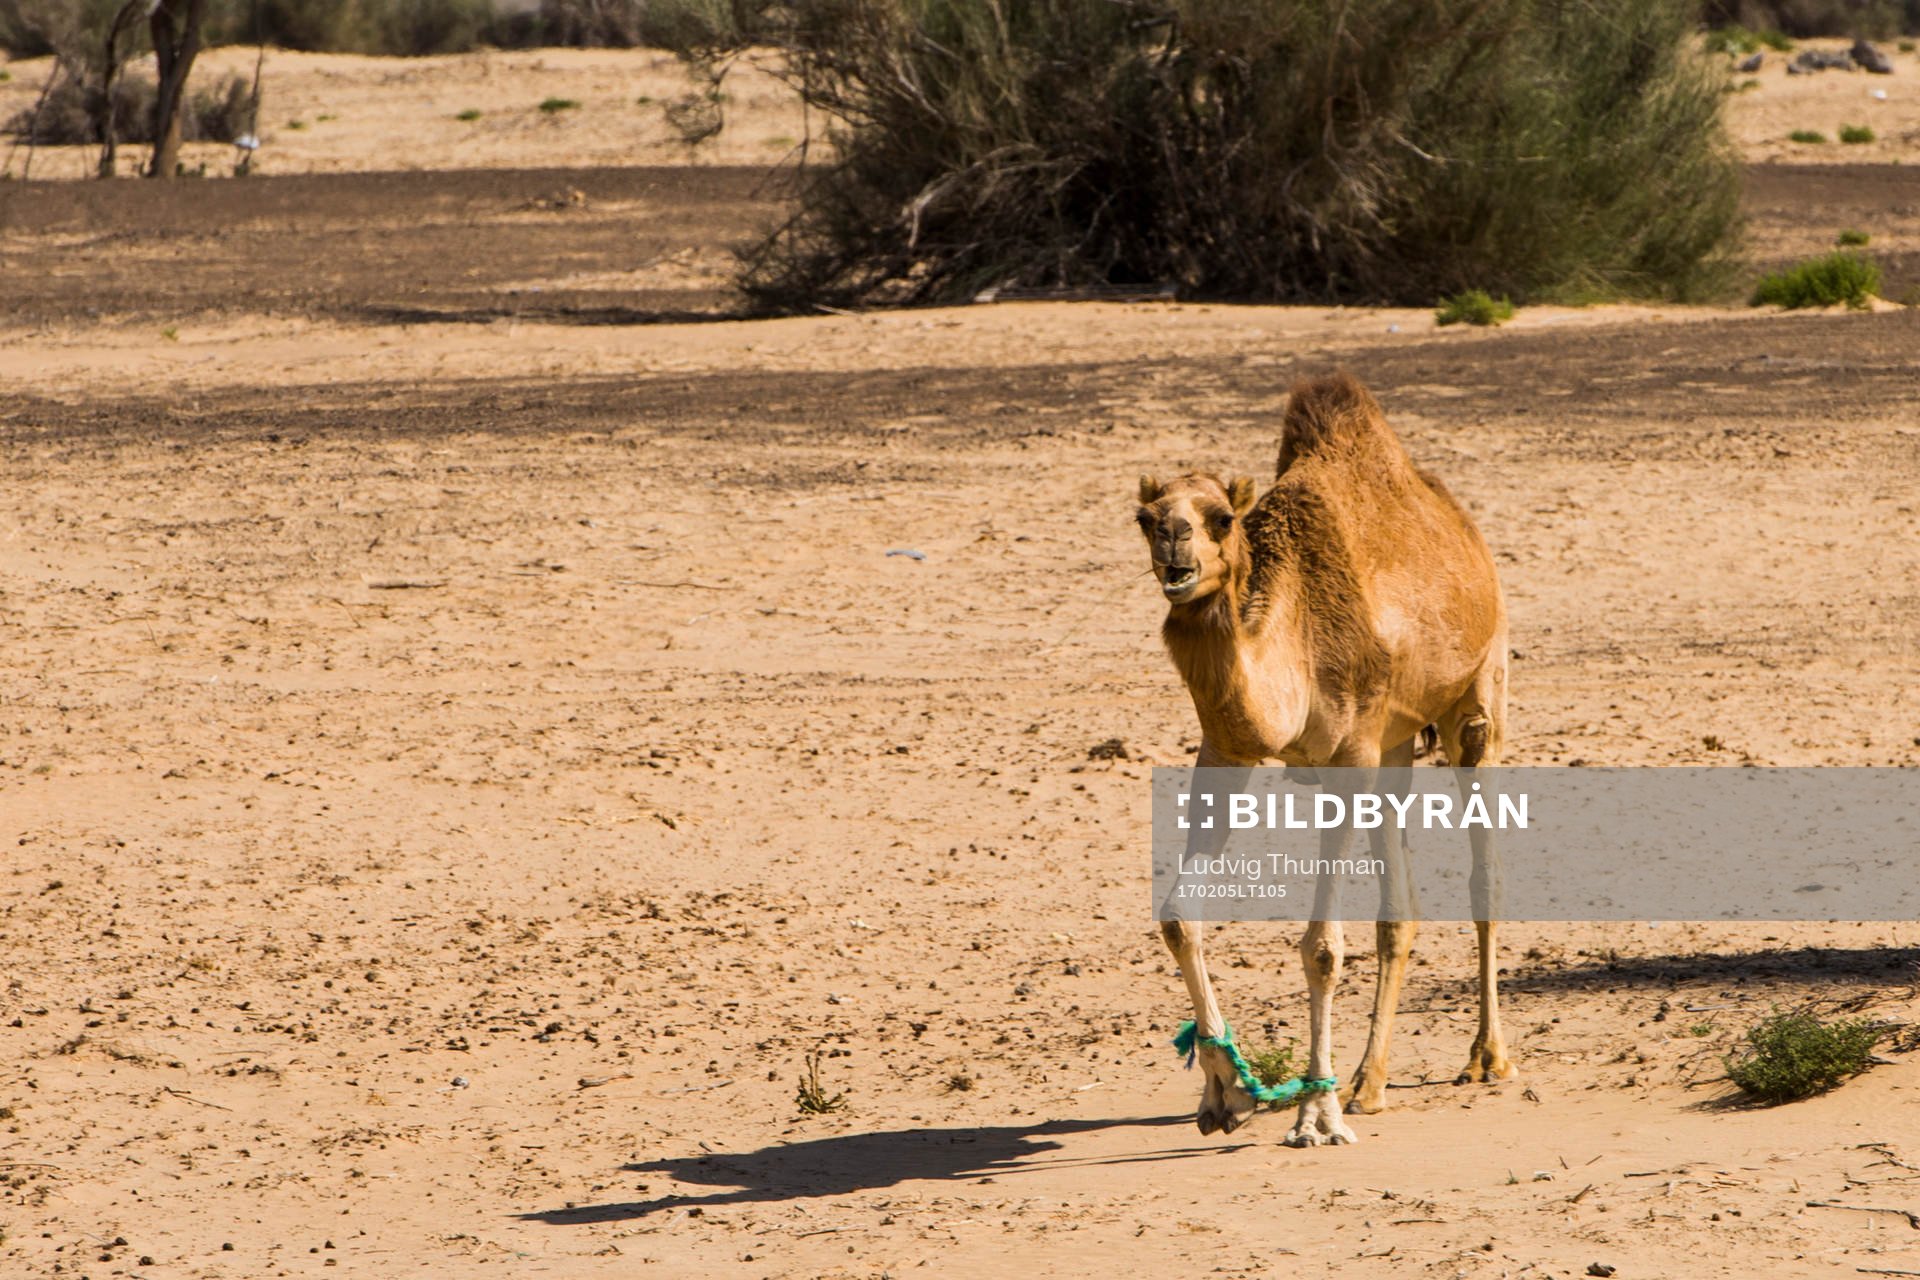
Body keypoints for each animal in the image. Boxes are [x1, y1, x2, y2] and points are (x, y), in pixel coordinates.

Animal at [1134, 371, 1513, 1147]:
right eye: (1143, 517)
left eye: (1221, 518)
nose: (1174, 542)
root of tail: (1462, 526)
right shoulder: (1229, 749)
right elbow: (1179, 917)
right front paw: (1224, 1093)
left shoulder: (1350, 751)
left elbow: (1320, 948)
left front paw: (1315, 1114)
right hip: (1397, 741)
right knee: (1399, 911)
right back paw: (1370, 1081)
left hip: (1478, 691)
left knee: (1482, 862)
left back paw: (1485, 1057)